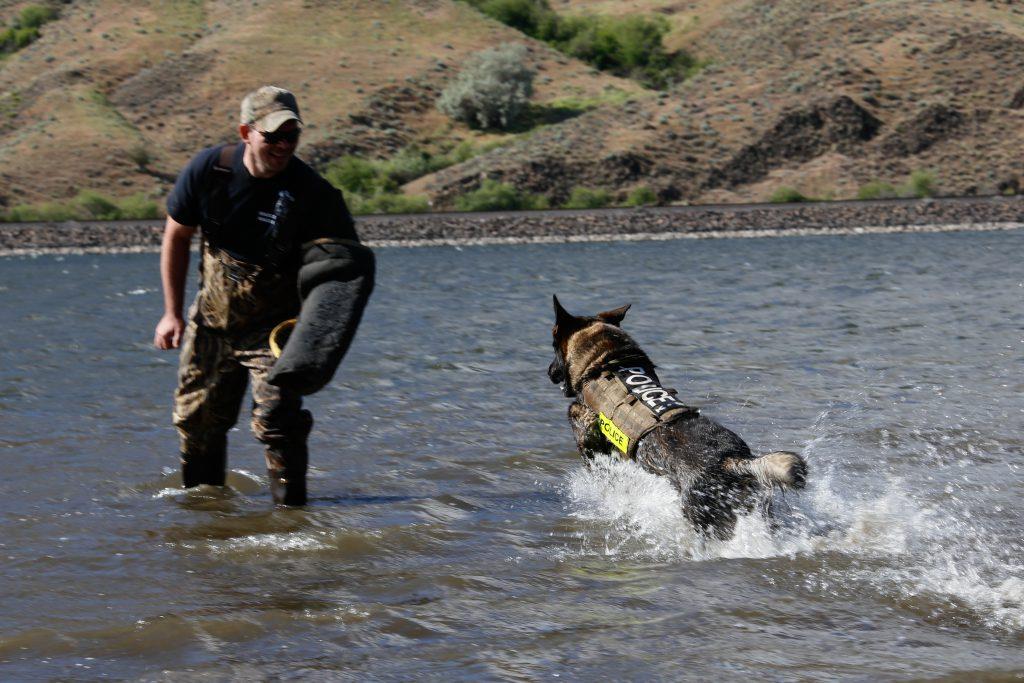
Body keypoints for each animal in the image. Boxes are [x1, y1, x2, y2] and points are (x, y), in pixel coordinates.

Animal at [548, 296, 802, 540]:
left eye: (553, 346)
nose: (549, 372)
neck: (606, 361)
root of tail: (732, 460)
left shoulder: (588, 436)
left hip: (708, 521)